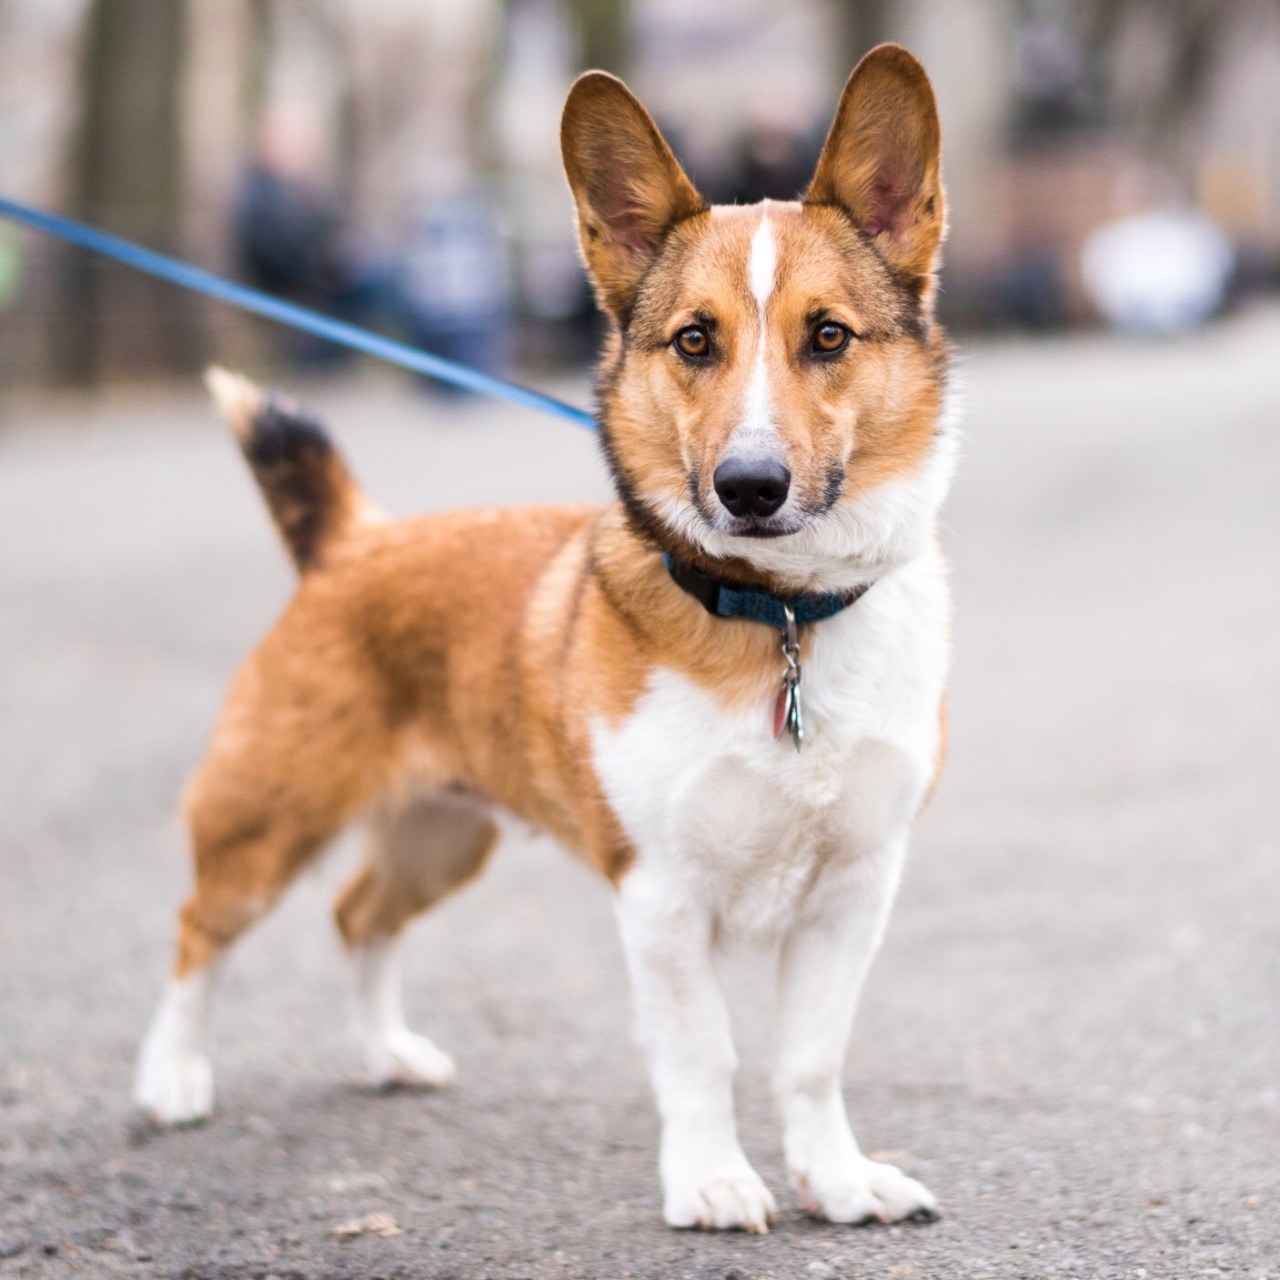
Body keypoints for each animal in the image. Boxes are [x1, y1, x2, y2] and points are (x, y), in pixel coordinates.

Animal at [137, 45, 962, 1233]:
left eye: (828, 336)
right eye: (694, 340)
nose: (748, 487)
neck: (781, 618)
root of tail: (348, 539)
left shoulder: (852, 890)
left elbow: (809, 1060)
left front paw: (839, 1180)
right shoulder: (660, 895)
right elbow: (703, 1056)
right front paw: (712, 1179)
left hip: (443, 834)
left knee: (358, 915)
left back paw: (385, 1052)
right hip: (267, 824)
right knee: (200, 929)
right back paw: (173, 1077)